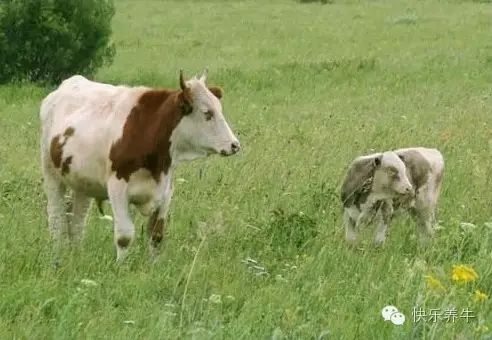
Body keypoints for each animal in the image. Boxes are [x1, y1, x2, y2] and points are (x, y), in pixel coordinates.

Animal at [40, 68, 240, 260]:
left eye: (219, 109)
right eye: (207, 113)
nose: (235, 145)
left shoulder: (166, 191)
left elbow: (156, 235)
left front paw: (153, 267)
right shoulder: (117, 189)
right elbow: (124, 236)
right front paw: (121, 267)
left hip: (82, 182)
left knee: (77, 221)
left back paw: (76, 254)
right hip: (51, 175)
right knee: (56, 217)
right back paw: (57, 255)